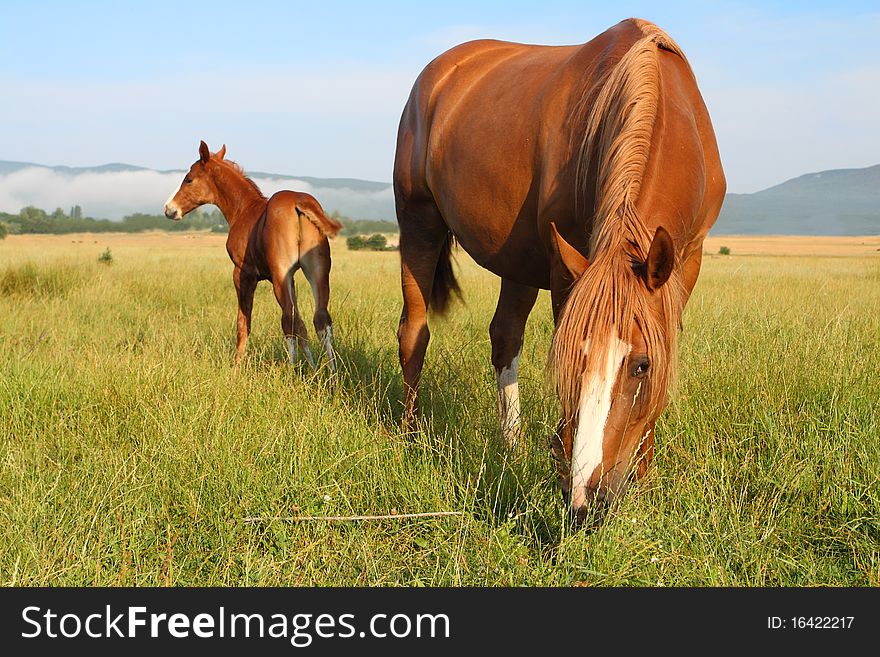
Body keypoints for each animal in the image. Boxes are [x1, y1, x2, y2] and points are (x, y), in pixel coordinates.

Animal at [163, 140, 342, 368]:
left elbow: (243, 324)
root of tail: (300, 202)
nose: (169, 209)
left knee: (287, 319)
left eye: (189, 179)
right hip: (317, 271)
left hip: (280, 274)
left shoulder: (243, 273)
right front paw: (312, 368)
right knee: (321, 319)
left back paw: (292, 371)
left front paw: (236, 367)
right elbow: (301, 324)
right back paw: (332, 373)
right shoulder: (292, 278)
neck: (243, 209)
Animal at [396, 18, 724, 516]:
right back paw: (412, 435)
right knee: (414, 333)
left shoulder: (686, 263)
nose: (588, 499)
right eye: (573, 356)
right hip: (419, 225)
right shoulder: (565, 264)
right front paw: (565, 462)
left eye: (641, 366)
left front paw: (641, 474)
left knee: (505, 336)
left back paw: (511, 446)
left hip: (518, 258)